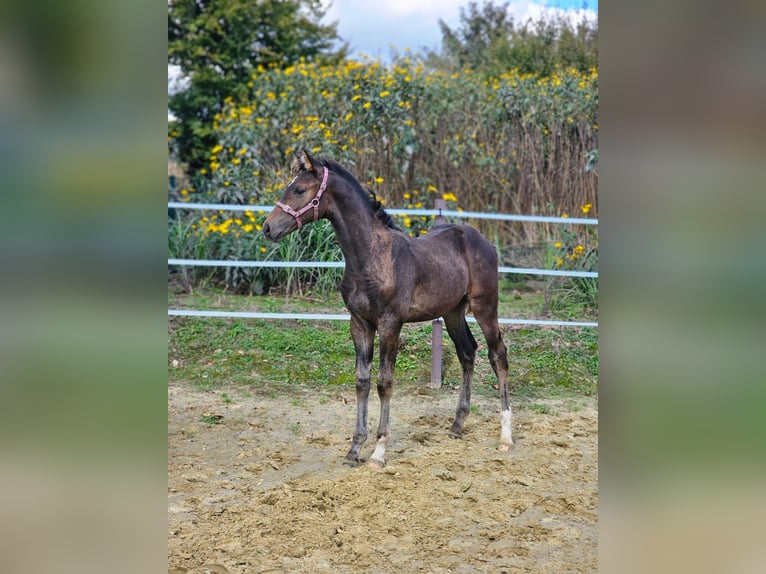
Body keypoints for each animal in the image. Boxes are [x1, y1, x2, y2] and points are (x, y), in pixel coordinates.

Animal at [264, 150, 516, 468]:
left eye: (298, 189)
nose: (267, 228)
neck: (371, 257)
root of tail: (485, 242)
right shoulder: (359, 323)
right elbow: (362, 380)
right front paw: (354, 450)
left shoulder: (390, 324)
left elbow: (384, 382)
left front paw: (378, 452)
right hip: (453, 312)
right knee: (467, 352)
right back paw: (457, 425)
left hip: (485, 306)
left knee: (499, 355)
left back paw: (505, 437)